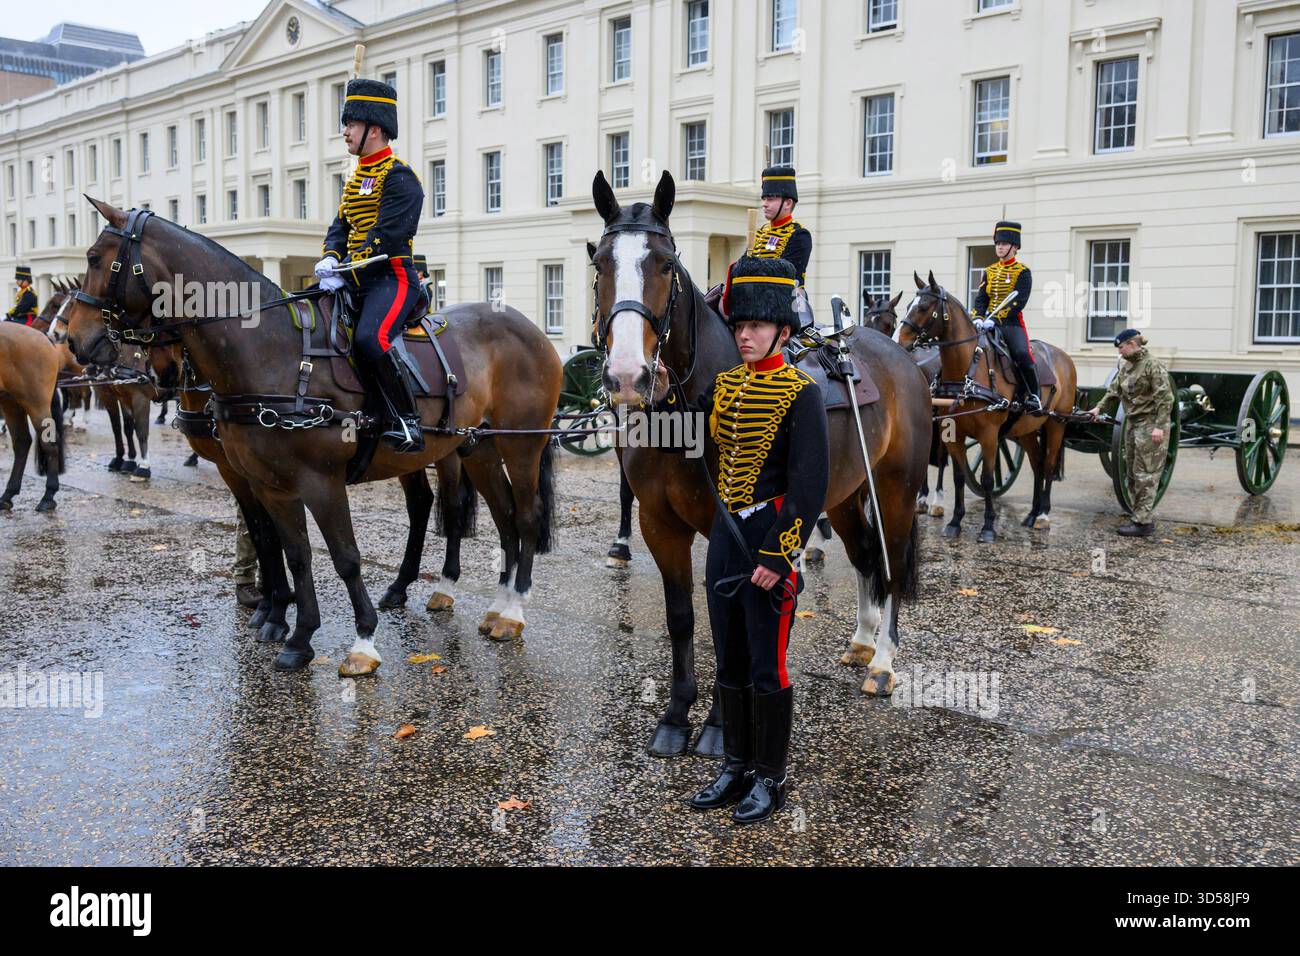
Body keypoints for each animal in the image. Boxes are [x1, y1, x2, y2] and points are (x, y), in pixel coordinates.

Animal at [63, 198, 563, 675]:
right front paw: (295, 634)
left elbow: (343, 556)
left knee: (522, 516)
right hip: (477, 448)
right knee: (499, 517)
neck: (271, 353)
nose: (76, 342)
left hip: (518, 445)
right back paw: (492, 603)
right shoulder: (266, 482)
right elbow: (291, 550)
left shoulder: (320, 482)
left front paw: (360, 642)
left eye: (94, 258)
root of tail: (530, 327)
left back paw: (511, 611)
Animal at [591, 169, 932, 756]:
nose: (629, 376)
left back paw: (884, 662)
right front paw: (676, 716)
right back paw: (862, 641)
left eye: (665, 264)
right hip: (843, 495)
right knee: (865, 556)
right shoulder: (659, 523)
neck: (687, 410)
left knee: (888, 565)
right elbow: (682, 618)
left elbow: (731, 626)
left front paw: (718, 728)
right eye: (599, 265)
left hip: (894, 491)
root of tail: (899, 356)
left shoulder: (731, 529)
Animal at [897, 271, 1078, 540]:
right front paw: (955, 521)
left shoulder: (989, 435)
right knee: (1036, 464)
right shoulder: (954, 433)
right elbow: (959, 476)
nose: (900, 340)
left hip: (1057, 423)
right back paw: (1032, 513)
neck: (968, 370)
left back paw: (1043, 515)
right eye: (909, 304)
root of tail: (1064, 357)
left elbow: (987, 479)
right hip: (1025, 429)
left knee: (1047, 466)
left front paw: (988, 526)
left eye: (925, 307)